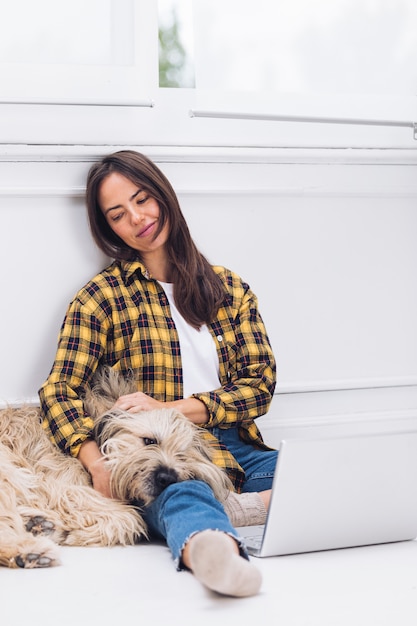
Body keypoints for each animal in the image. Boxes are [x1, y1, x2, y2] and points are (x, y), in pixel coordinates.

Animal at [0, 368, 231, 568]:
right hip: (8, 470)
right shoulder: (63, 486)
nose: (166, 478)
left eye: (182, 456)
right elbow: (129, 519)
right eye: (150, 441)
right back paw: (27, 551)